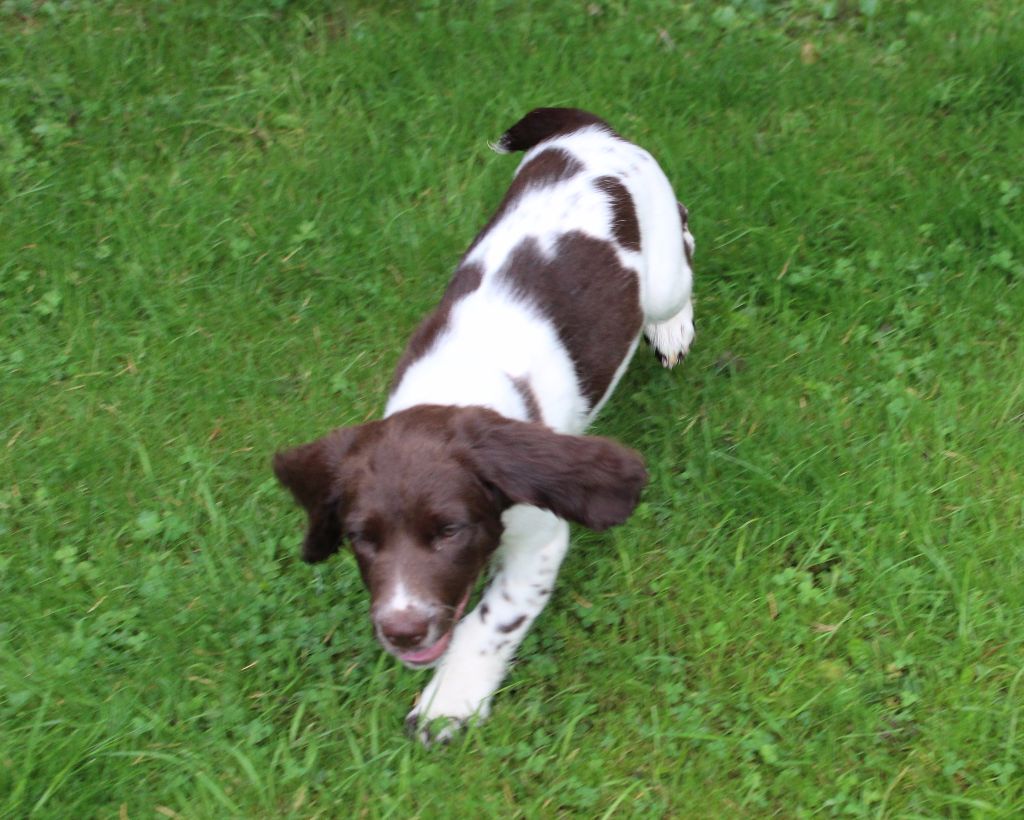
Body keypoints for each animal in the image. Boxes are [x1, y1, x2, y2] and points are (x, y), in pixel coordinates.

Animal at [270, 106, 696, 741]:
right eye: (361, 539)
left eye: (450, 531)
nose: (401, 630)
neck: (453, 389)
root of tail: (590, 131)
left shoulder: (540, 539)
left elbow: (488, 622)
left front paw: (450, 699)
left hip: (664, 267)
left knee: (682, 246)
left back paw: (671, 328)